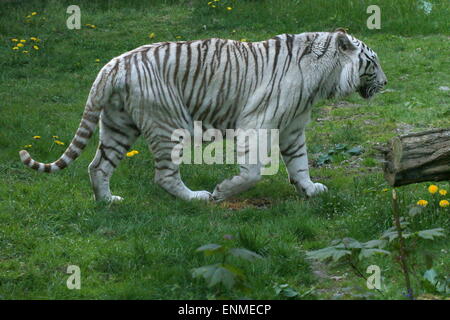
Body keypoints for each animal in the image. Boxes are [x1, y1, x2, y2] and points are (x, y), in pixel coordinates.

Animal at [19, 31, 386, 204]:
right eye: (373, 62)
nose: (385, 83)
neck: (324, 77)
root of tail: (112, 65)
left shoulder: (293, 128)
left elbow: (300, 163)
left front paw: (309, 190)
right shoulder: (256, 125)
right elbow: (253, 172)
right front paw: (224, 191)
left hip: (117, 125)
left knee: (97, 167)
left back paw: (108, 201)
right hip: (168, 125)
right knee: (164, 176)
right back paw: (198, 198)